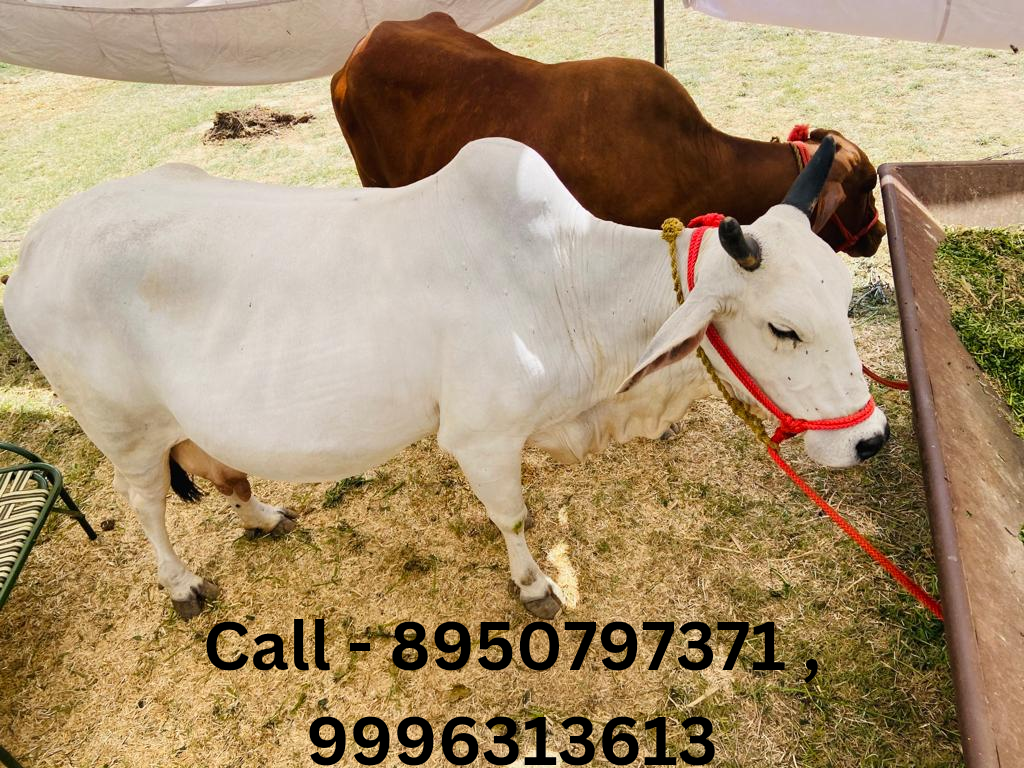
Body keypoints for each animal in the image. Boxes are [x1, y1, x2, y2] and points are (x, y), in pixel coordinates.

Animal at [4, 137, 888, 620]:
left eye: (844, 297)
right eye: (782, 328)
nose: (873, 440)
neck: (564, 278)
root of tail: (39, 242)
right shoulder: (482, 437)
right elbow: (514, 518)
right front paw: (536, 588)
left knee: (225, 476)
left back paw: (264, 515)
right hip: (122, 431)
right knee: (146, 506)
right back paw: (181, 584)